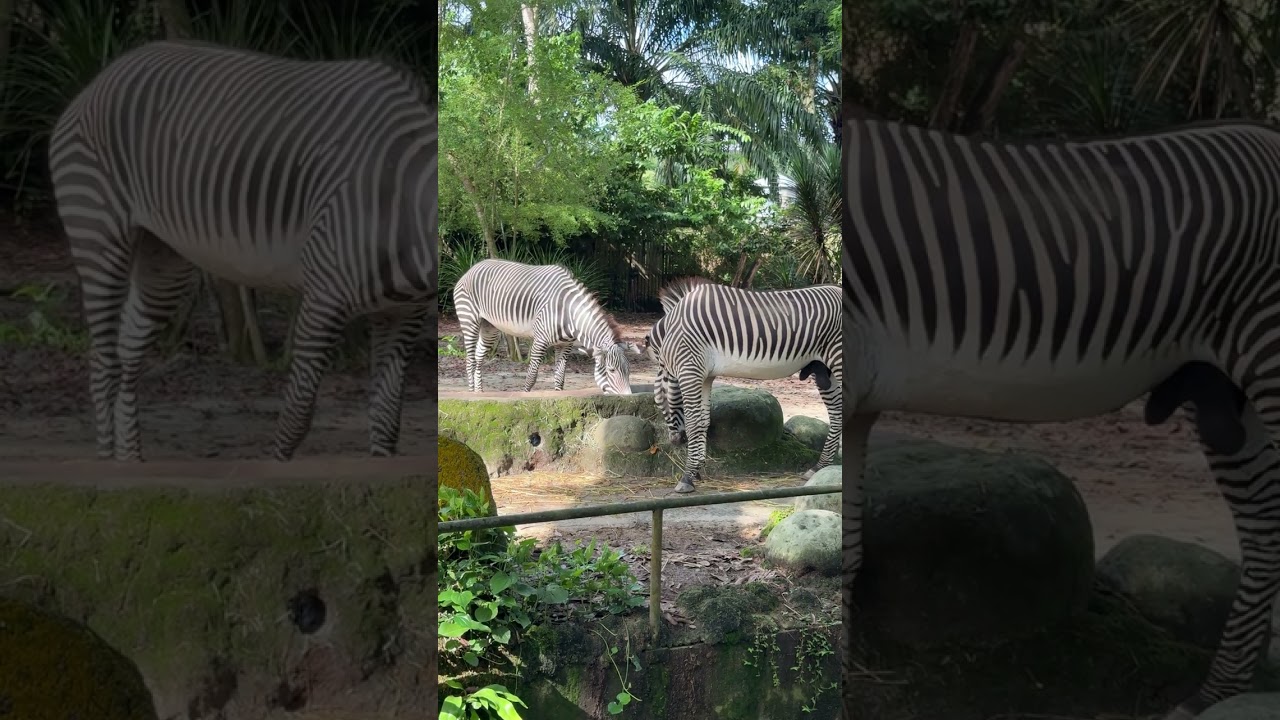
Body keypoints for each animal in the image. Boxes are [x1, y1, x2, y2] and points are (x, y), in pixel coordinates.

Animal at [48, 40, 437, 462]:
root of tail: (109, 71)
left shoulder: (402, 315)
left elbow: (387, 422)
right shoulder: (324, 299)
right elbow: (297, 418)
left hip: (164, 258)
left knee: (126, 349)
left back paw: (131, 461)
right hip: (97, 229)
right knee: (101, 361)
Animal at [452, 258, 641, 395]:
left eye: (629, 370)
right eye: (611, 370)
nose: (629, 398)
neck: (568, 312)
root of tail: (473, 267)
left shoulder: (565, 345)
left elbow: (560, 377)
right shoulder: (540, 341)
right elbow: (532, 376)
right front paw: (525, 395)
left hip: (489, 327)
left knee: (478, 356)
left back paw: (479, 393)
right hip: (469, 320)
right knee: (470, 358)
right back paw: (471, 393)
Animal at [646, 277, 841, 493]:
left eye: (659, 400)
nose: (676, 441)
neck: (672, 329)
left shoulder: (690, 370)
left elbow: (693, 423)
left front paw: (687, 477)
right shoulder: (705, 376)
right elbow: (704, 421)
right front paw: (697, 470)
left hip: (839, 358)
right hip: (825, 370)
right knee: (837, 413)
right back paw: (819, 467)